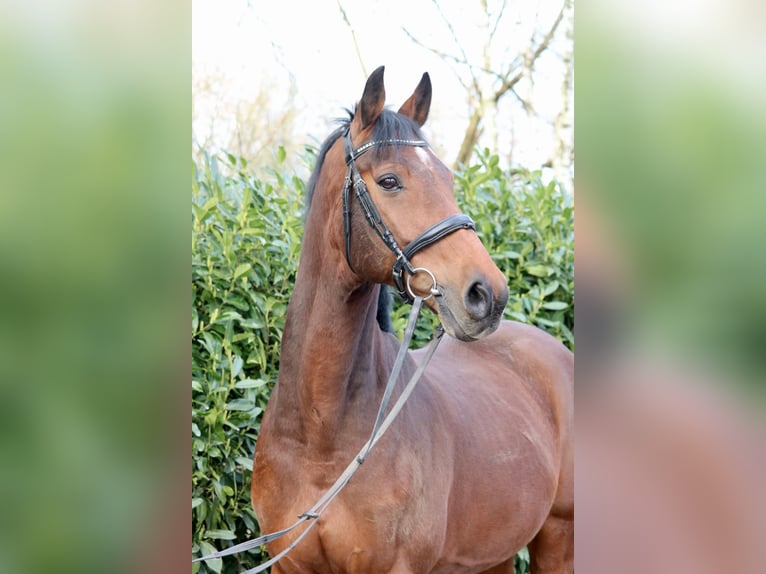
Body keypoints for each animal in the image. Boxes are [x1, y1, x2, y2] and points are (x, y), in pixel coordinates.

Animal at [252, 65, 576, 572]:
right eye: (389, 181)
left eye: (447, 178)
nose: (488, 294)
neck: (320, 436)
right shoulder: (286, 564)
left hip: (559, 536)